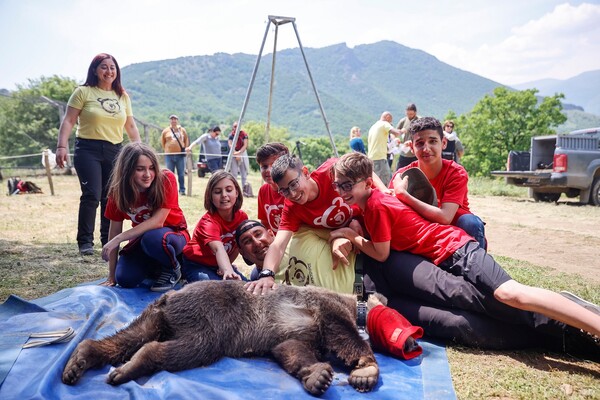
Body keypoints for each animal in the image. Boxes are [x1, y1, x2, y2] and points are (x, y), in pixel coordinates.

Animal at [64, 280, 384, 396]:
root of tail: (170, 296)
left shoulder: (297, 336)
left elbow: (292, 350)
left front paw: (316, 375)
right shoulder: (326, 307)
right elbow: (342, 333)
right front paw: (366, 369)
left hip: (156, 316)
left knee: (131, 336)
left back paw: (81, 360)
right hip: (209, 316)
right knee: (190, 347)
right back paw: (133, 365)